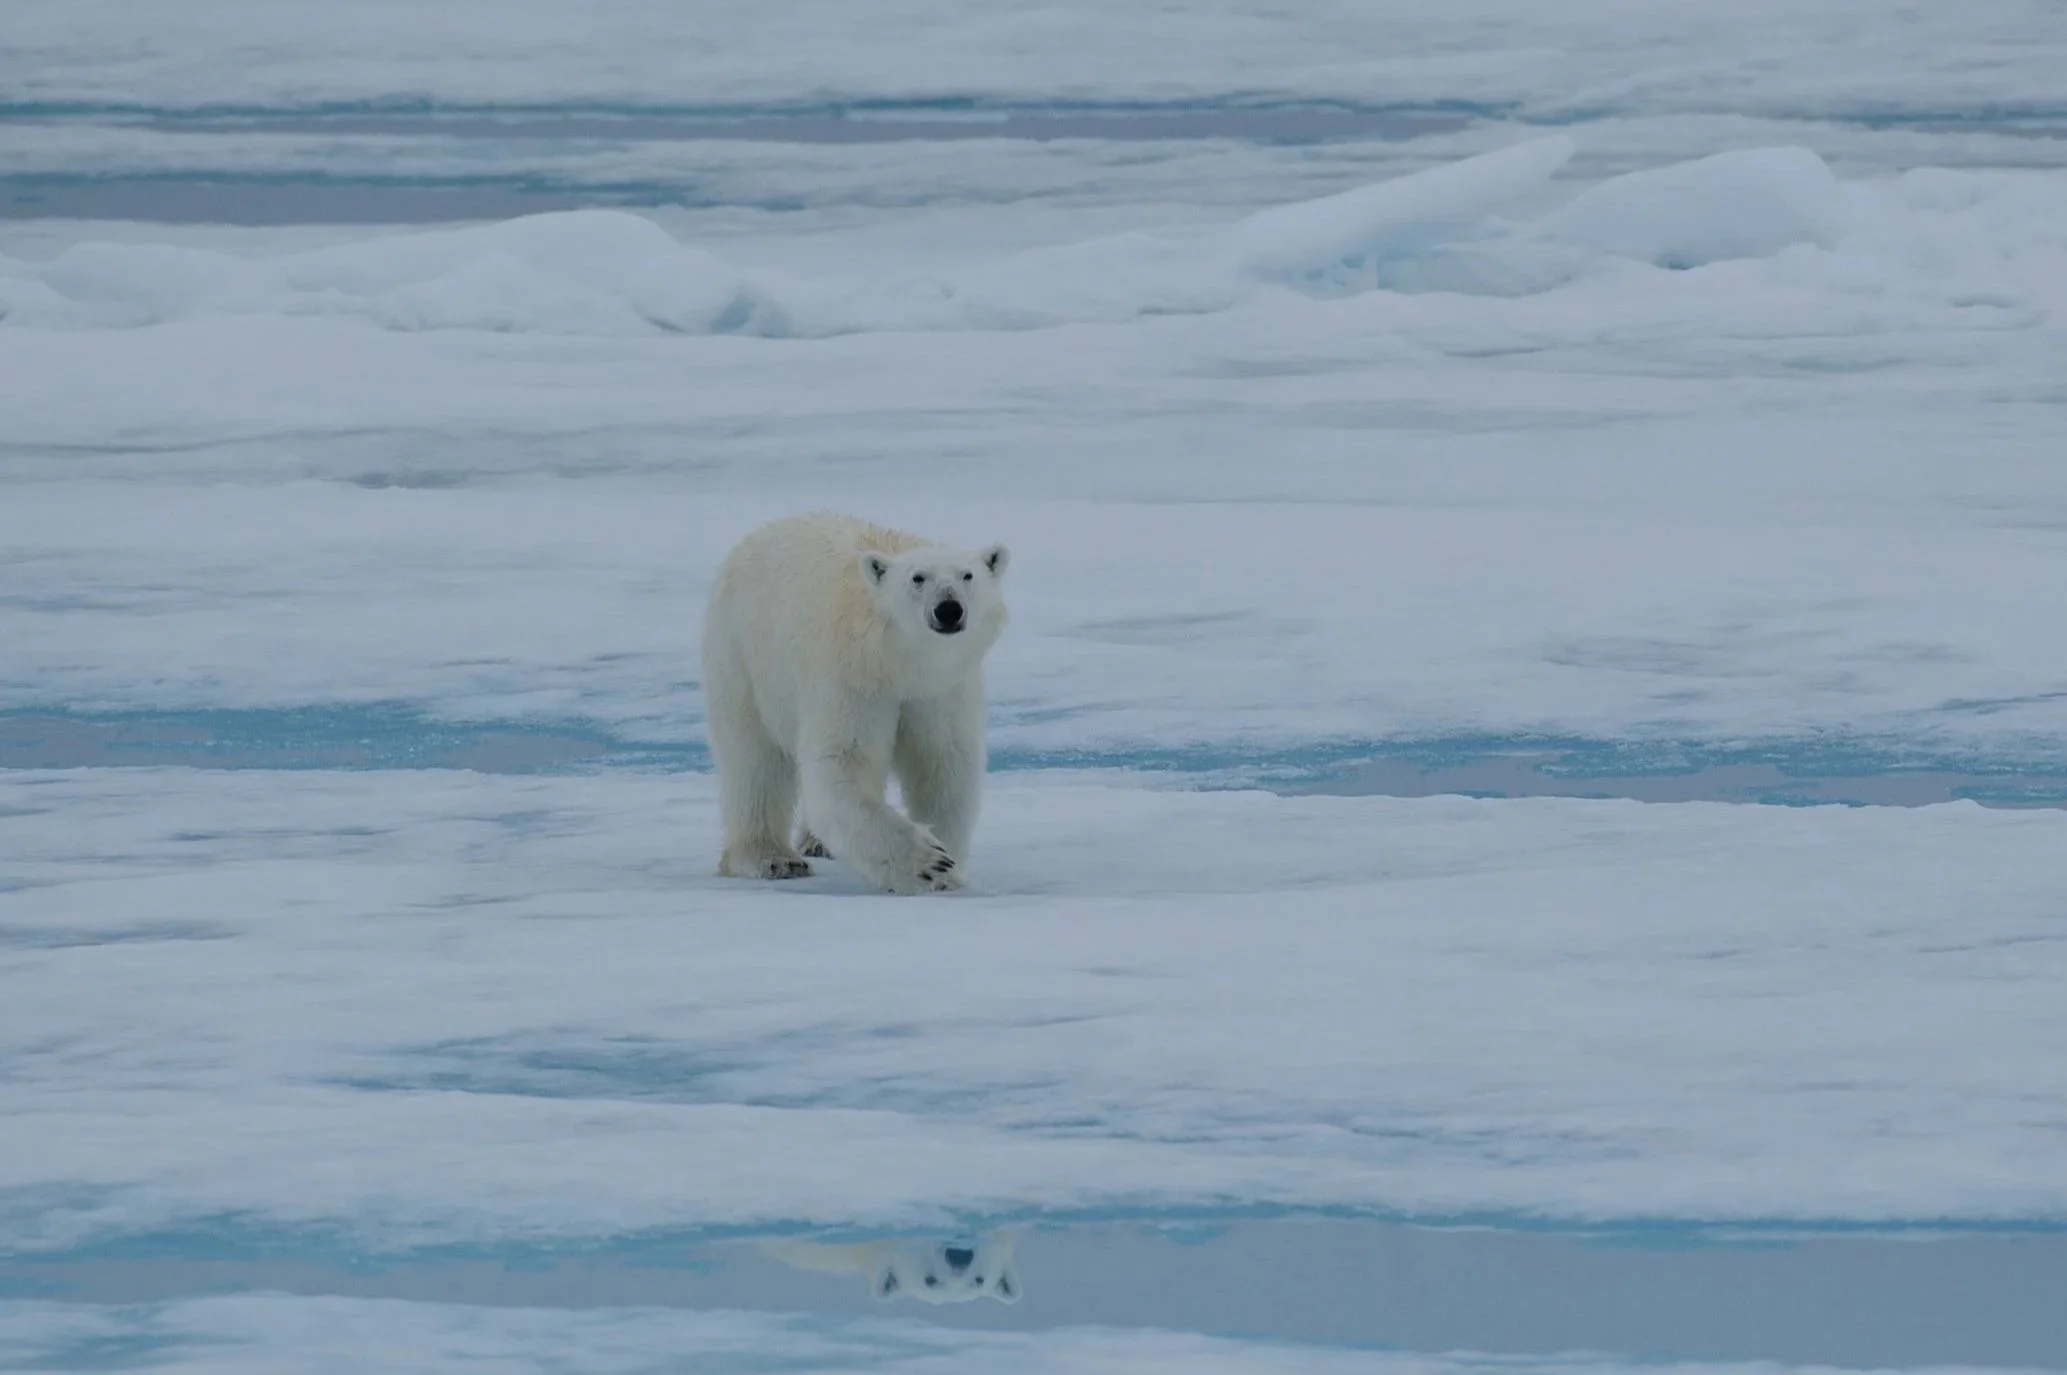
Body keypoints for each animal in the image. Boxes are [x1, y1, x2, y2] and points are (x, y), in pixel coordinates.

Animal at [701, 513, 1009, 894]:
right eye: (918, 577)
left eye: (968, 575)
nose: (949, 609)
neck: (900, 664)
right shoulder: (853, 677)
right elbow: (843, 763)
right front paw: (929, 864)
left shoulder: (941, 690)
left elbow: (943, 765)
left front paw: (948, 865)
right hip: (743, 657)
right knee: (753, 759)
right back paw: (772, 858)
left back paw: (816, 842)